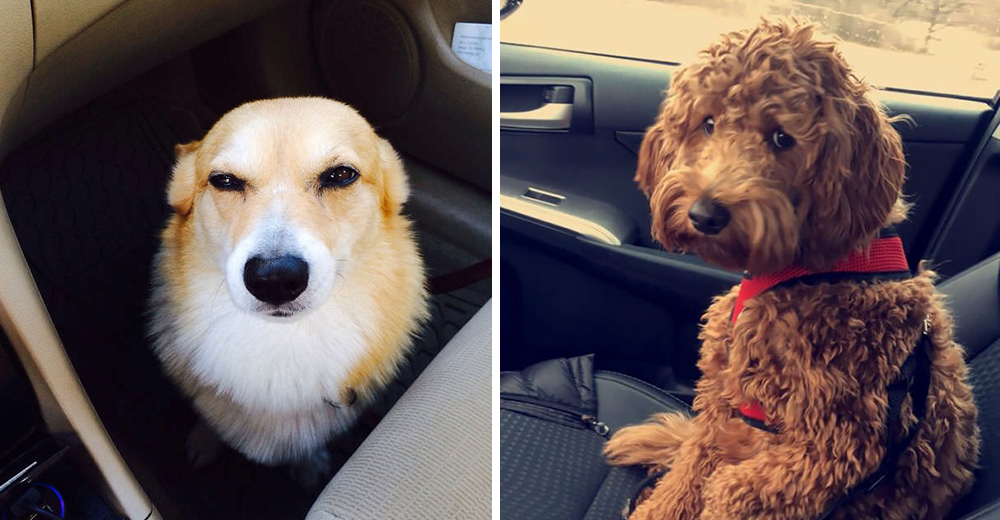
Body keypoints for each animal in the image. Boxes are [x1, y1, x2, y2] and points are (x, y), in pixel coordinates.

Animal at [147, 97, 426, 488]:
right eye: (224, 181)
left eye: (341, 175)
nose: (274, 279)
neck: (282, 340)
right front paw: (204, 440)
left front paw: (309, 465)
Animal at [604, 18, 980, 520]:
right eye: (708, 123)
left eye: (782, 138)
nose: (705, 214)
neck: (811, 271)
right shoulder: (722, 404)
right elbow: (687, 472)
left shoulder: (836, 449)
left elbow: (727, 491)